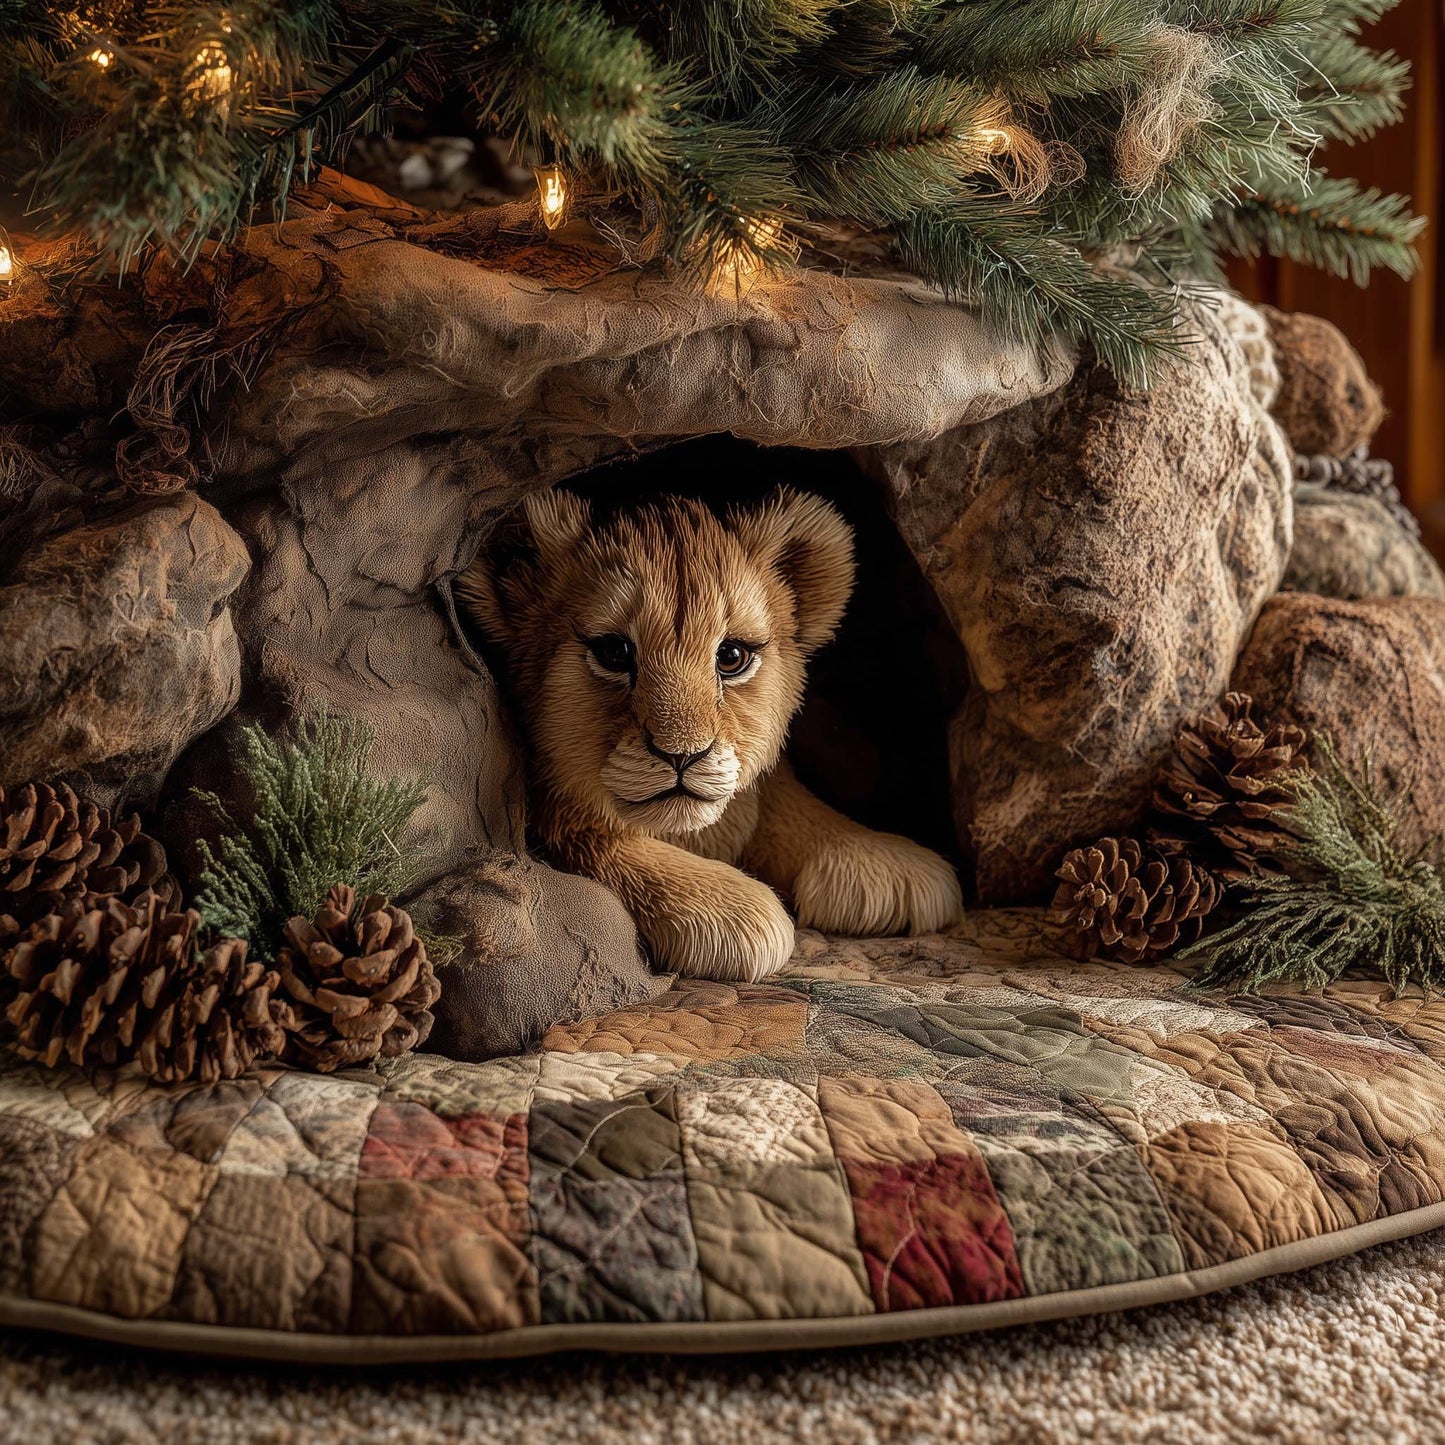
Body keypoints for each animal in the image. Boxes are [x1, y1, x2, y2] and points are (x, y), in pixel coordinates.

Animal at [457, 486, 964, 982]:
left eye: (732, 656)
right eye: (615, 652)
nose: (682, 755)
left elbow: (785, 799)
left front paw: (887, 867)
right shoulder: (560, 820)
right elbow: (599, 839)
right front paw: (735, 910)